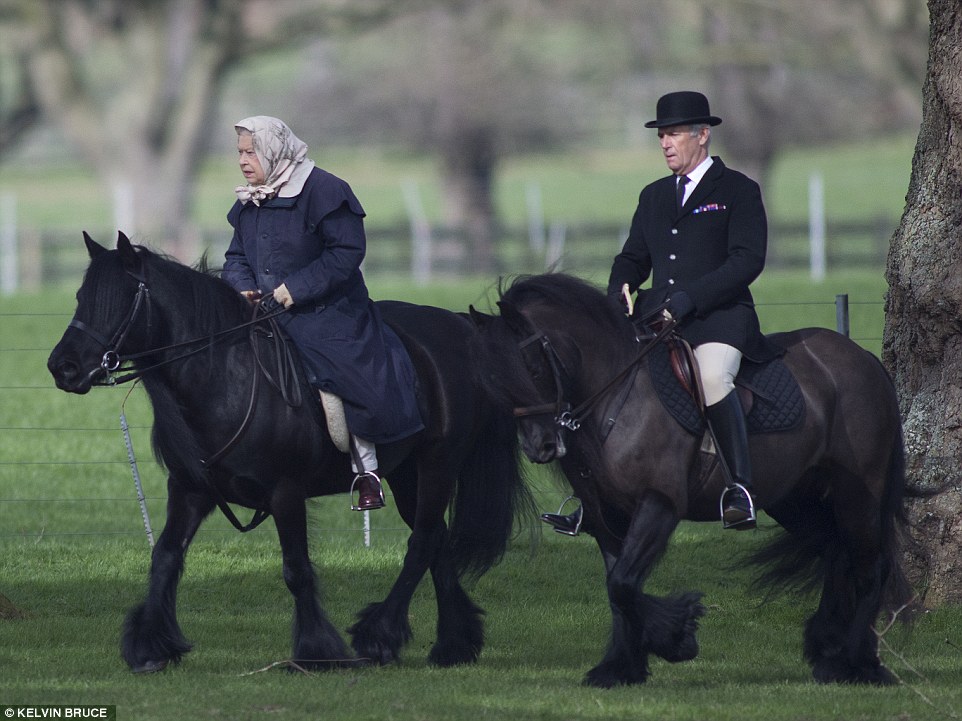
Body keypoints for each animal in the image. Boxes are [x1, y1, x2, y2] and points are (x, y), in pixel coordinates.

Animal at [47, 232, 532, 676]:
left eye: (117, 301)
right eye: (81, 298)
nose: (62, 367)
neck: (228, 378)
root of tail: (459, 328)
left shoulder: (285, 493)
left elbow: (296, 569)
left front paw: (318, 651)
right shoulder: (190, 489)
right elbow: (165, 557)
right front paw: (150, 646)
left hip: (437, 466)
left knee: (422, 544)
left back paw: (379, 637)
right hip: (407, 474)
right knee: (437, 541)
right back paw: (453, 645)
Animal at [468, 274, 912, 688]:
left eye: (532, 367)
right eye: (491, 375)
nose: (540, 447)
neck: (617, 397)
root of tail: (865, 360)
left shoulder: (659, 504)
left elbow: (624, 584)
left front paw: (676, 639)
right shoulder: (606, 517)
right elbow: (616, 586)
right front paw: (620, 667)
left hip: (858, 494)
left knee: (872, 567)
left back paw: (857, 663)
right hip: (795, 499)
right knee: (836, 553)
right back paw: (828, 652)